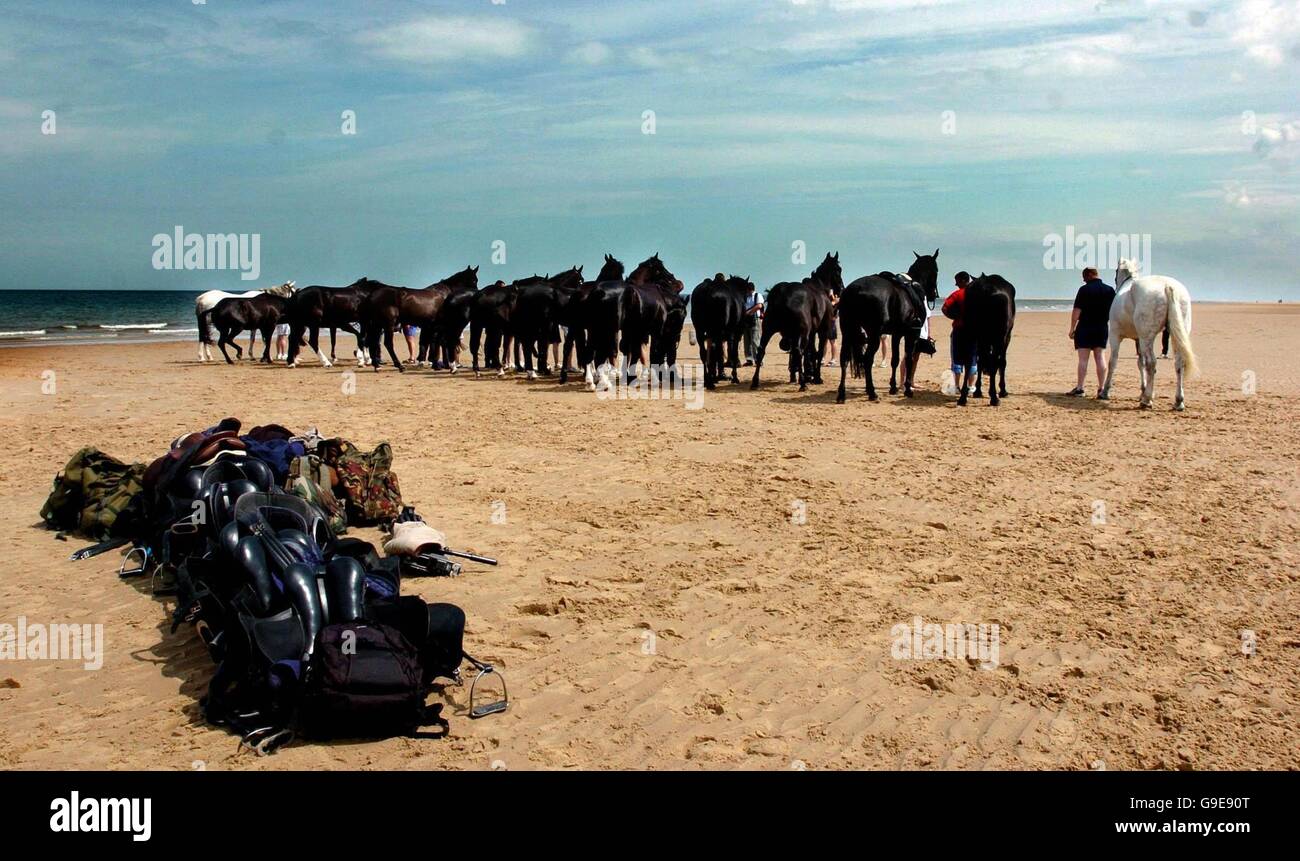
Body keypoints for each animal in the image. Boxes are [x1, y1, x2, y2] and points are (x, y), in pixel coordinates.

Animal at [748, 253, 847, 395]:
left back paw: (755, 382)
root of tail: (782, 293)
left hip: (768, 329)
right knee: (798, 351)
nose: (842, 289)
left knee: (761, 351)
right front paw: (816, 377)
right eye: (838, 269)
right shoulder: (822, 331)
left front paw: (809, 374)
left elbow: (811, 352)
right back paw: (802, 383)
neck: (819, 287)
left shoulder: (811, 333)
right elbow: (818, 352)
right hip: (801, 333)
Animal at [837, 249, 941, 405]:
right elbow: (908, 359)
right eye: (936, 270)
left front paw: (893, 387)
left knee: (844, 359)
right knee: (867, 360)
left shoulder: (897, 334)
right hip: (874, 335)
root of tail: (854, 290)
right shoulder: (911, 334)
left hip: (847, 331)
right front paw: (907, 389)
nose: (934, 295)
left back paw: (842, 394)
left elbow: (895, 360)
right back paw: (872, 392)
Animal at [956, 277, 1013, 410]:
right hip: (998, 338)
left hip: (970, 334)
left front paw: (977, 390)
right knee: (994, 364)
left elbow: (980, 362)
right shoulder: (1006, 338)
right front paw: (1003, 390)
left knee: (969, 362)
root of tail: (985, 287)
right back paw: (994, 397)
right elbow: (1002, 363)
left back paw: (963, 397)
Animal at [1097, 256, 1196, 410]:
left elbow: (1113, 361)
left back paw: (1147, 400)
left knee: (1152, 363)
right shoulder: (1138, 340)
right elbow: (1140, 362)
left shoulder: (1115, 335)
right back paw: (1178, 401)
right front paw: (1142, 391)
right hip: (1174, 335)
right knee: (1179, 363)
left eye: (1116, 270)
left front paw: (1105, 391)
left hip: (1147, 338)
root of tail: (1167, 286)